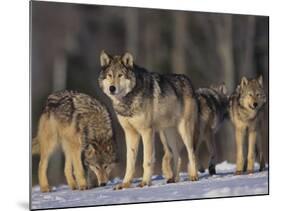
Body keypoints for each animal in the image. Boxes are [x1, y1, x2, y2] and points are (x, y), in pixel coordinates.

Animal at [98, 50, 199, 189]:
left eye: (120, 75)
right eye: (109, 75)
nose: (112, 88)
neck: (127, 100)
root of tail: (188, 80)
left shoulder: (146, 131)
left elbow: (147, 160)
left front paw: (145, 182)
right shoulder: (130, 133)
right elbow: (130, 162)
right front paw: (124, 184)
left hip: (184, 130)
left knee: (191, 153)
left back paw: (194, 176)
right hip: (167, 134)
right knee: (177, 156)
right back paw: (174, 179)